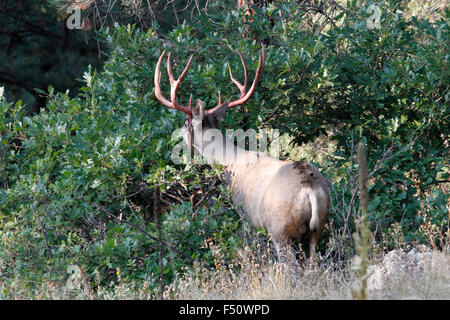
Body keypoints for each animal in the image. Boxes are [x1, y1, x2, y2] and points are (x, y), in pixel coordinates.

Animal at [154, 45, 330, 256]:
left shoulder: (245, 216)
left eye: (186, 122)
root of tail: (310, 190)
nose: (178, 133)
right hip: (318, 228)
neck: (231, 164)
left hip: (280, 230)